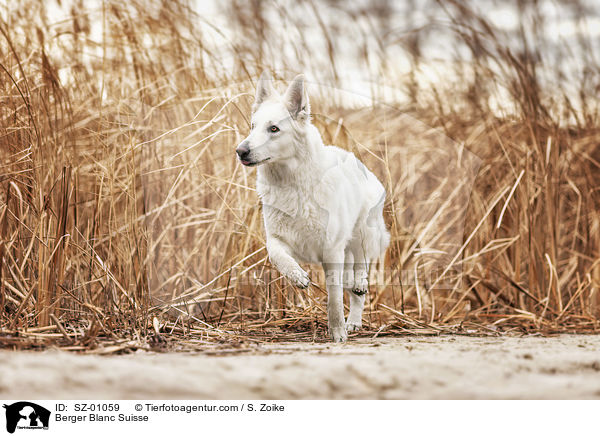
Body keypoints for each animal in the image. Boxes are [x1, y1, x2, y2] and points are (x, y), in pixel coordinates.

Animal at [237, 73, 392, 342]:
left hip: (363, 234)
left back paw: (355, 308)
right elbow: (276, 255)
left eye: (274, 129)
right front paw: (297, 276)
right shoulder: (277, 239)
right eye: (253, 127)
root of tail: (355, 159)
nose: (240, 151)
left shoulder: (332, 251)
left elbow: (334, 299)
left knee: (360, 272)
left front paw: (338, 331)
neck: (292, 185)